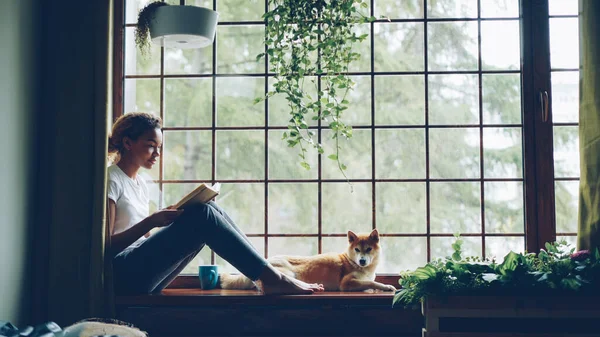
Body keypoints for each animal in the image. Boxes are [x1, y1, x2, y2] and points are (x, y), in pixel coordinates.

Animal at [218, 228, 396, 292]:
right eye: (357, 250)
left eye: (368, 249)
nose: (362, 261)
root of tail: (266, 260)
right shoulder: (346, 283)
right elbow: (371, 282)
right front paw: (386, 287)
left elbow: (369, 282)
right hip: (289, 274)